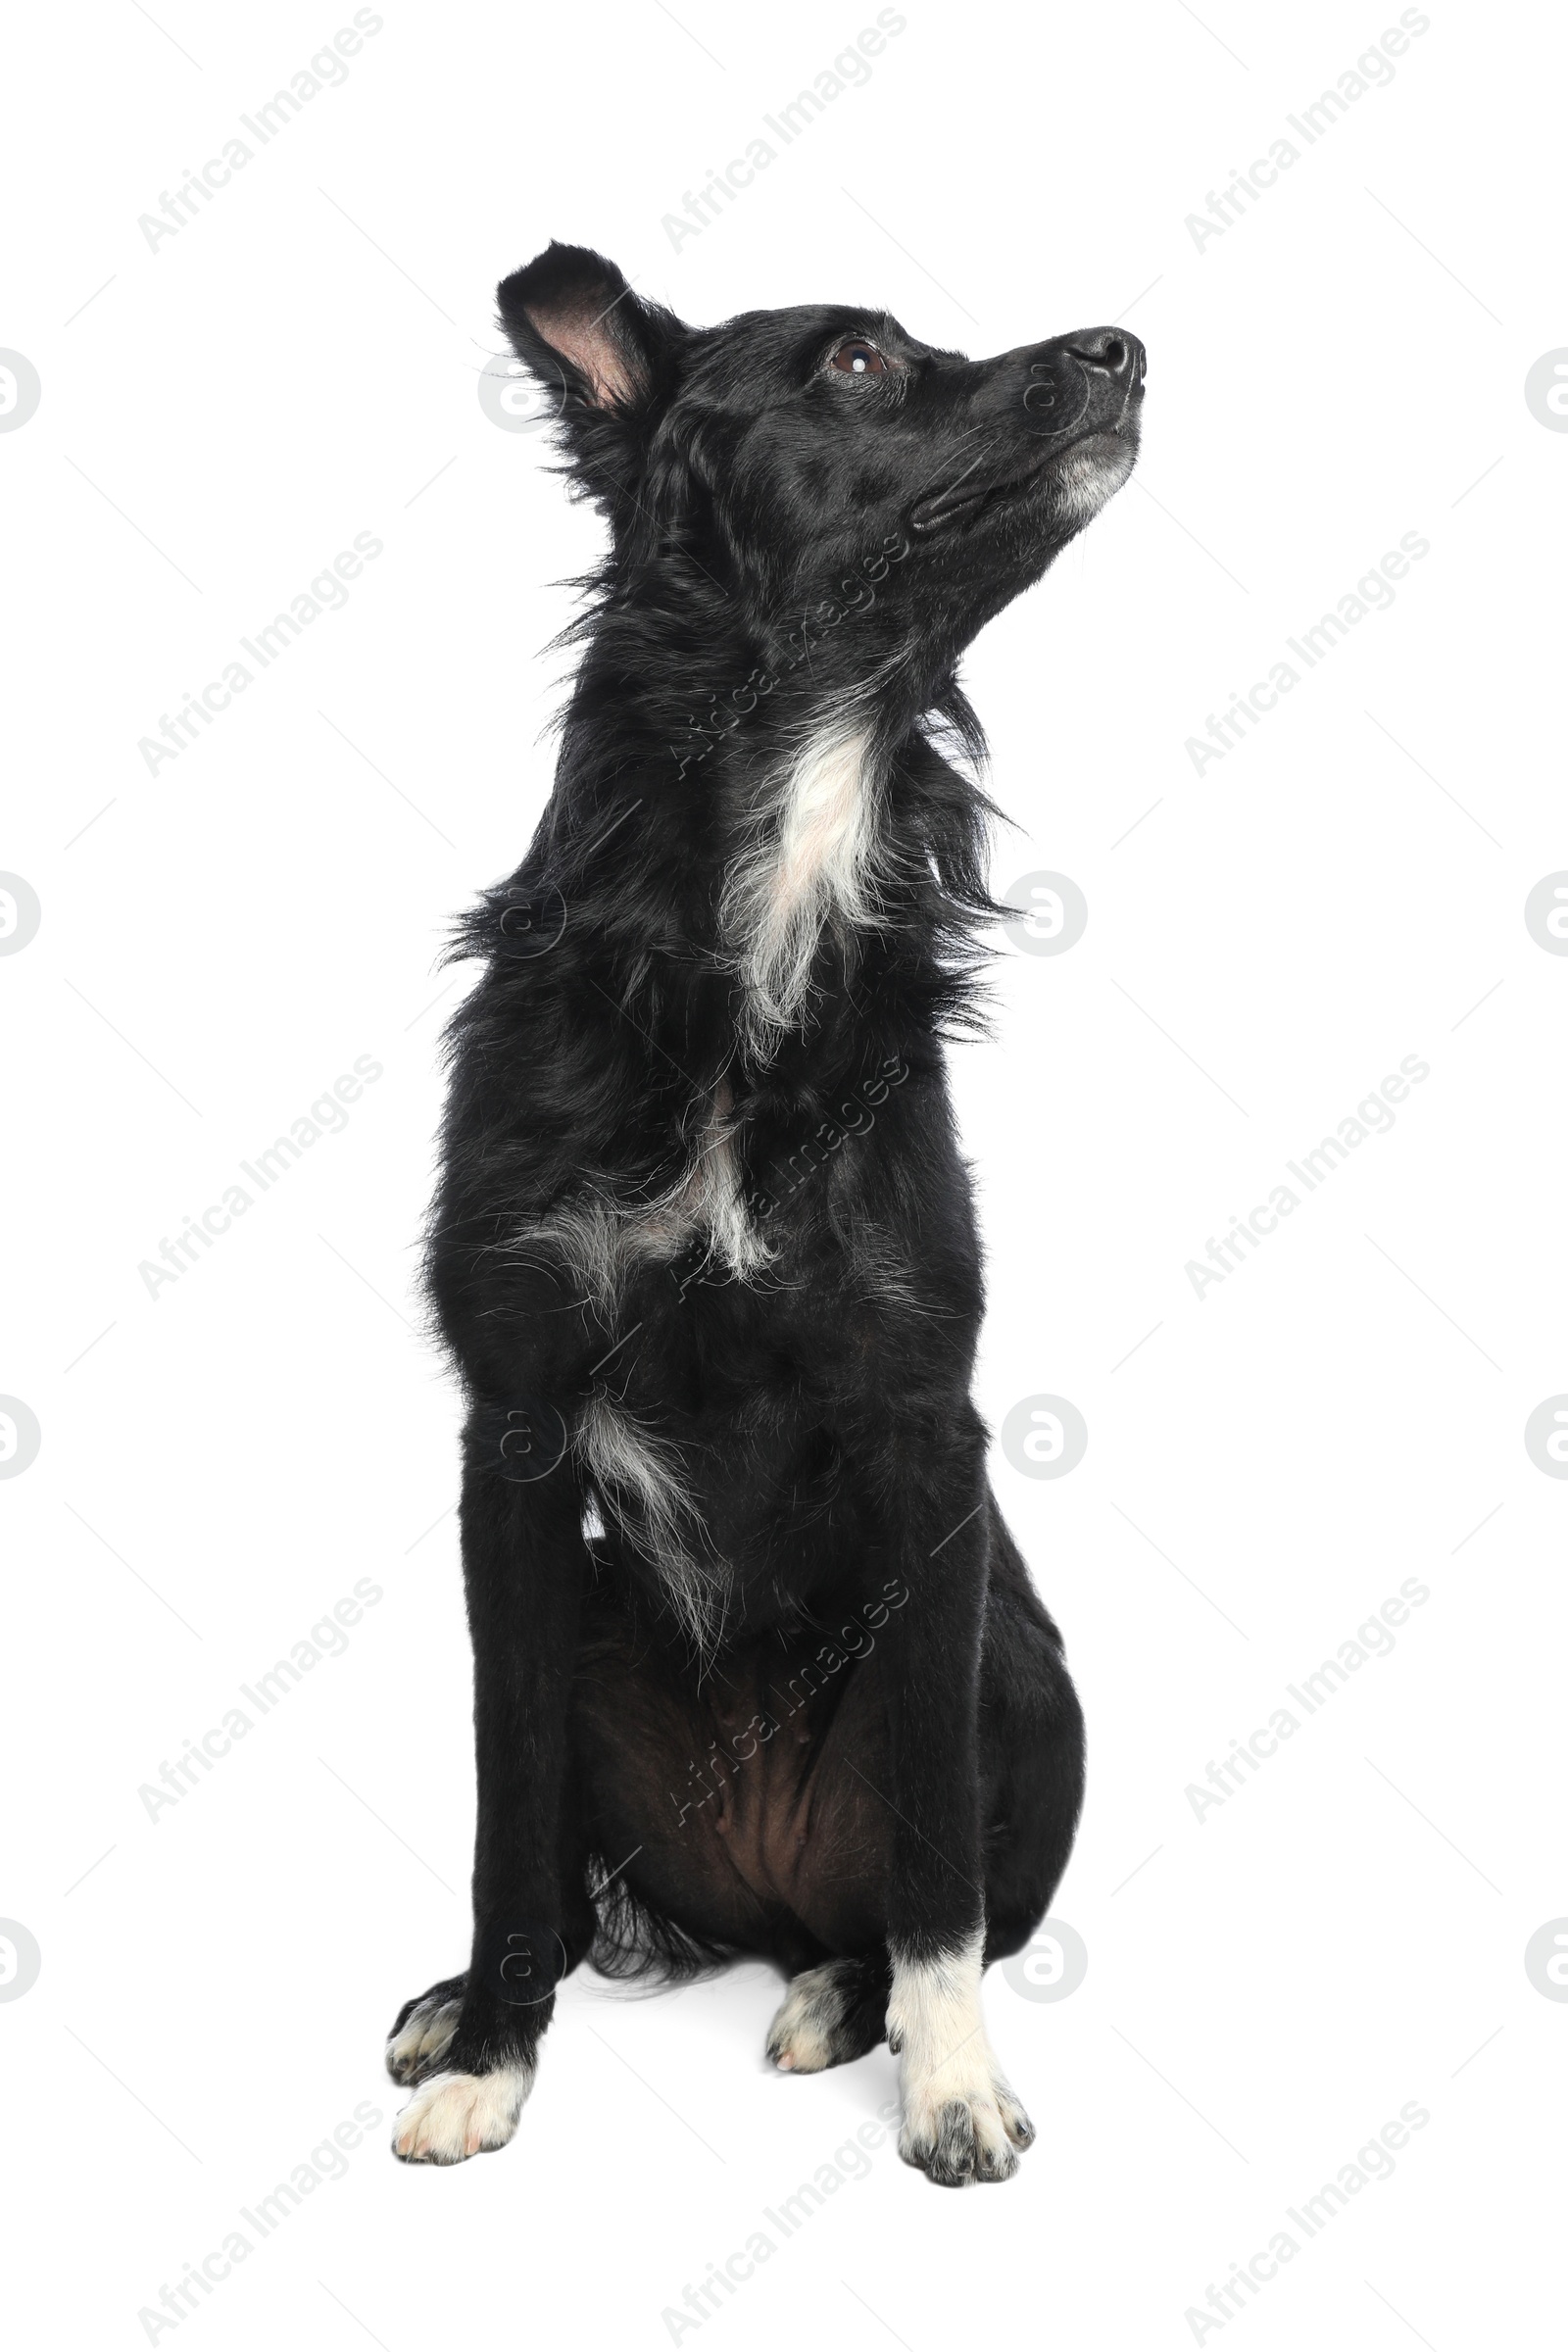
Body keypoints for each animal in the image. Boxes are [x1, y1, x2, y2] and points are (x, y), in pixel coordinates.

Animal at [385, 243, 1147, 2182]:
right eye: (862, 362)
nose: (1126, 347)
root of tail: (751, 1896)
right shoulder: (513, 1435)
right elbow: (506, 1812)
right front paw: (491, 2057)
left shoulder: (925, 1430)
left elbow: (940, 1858)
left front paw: (953, 2086)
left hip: (1021, 1660)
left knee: (881, 1905)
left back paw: (838, 1999)